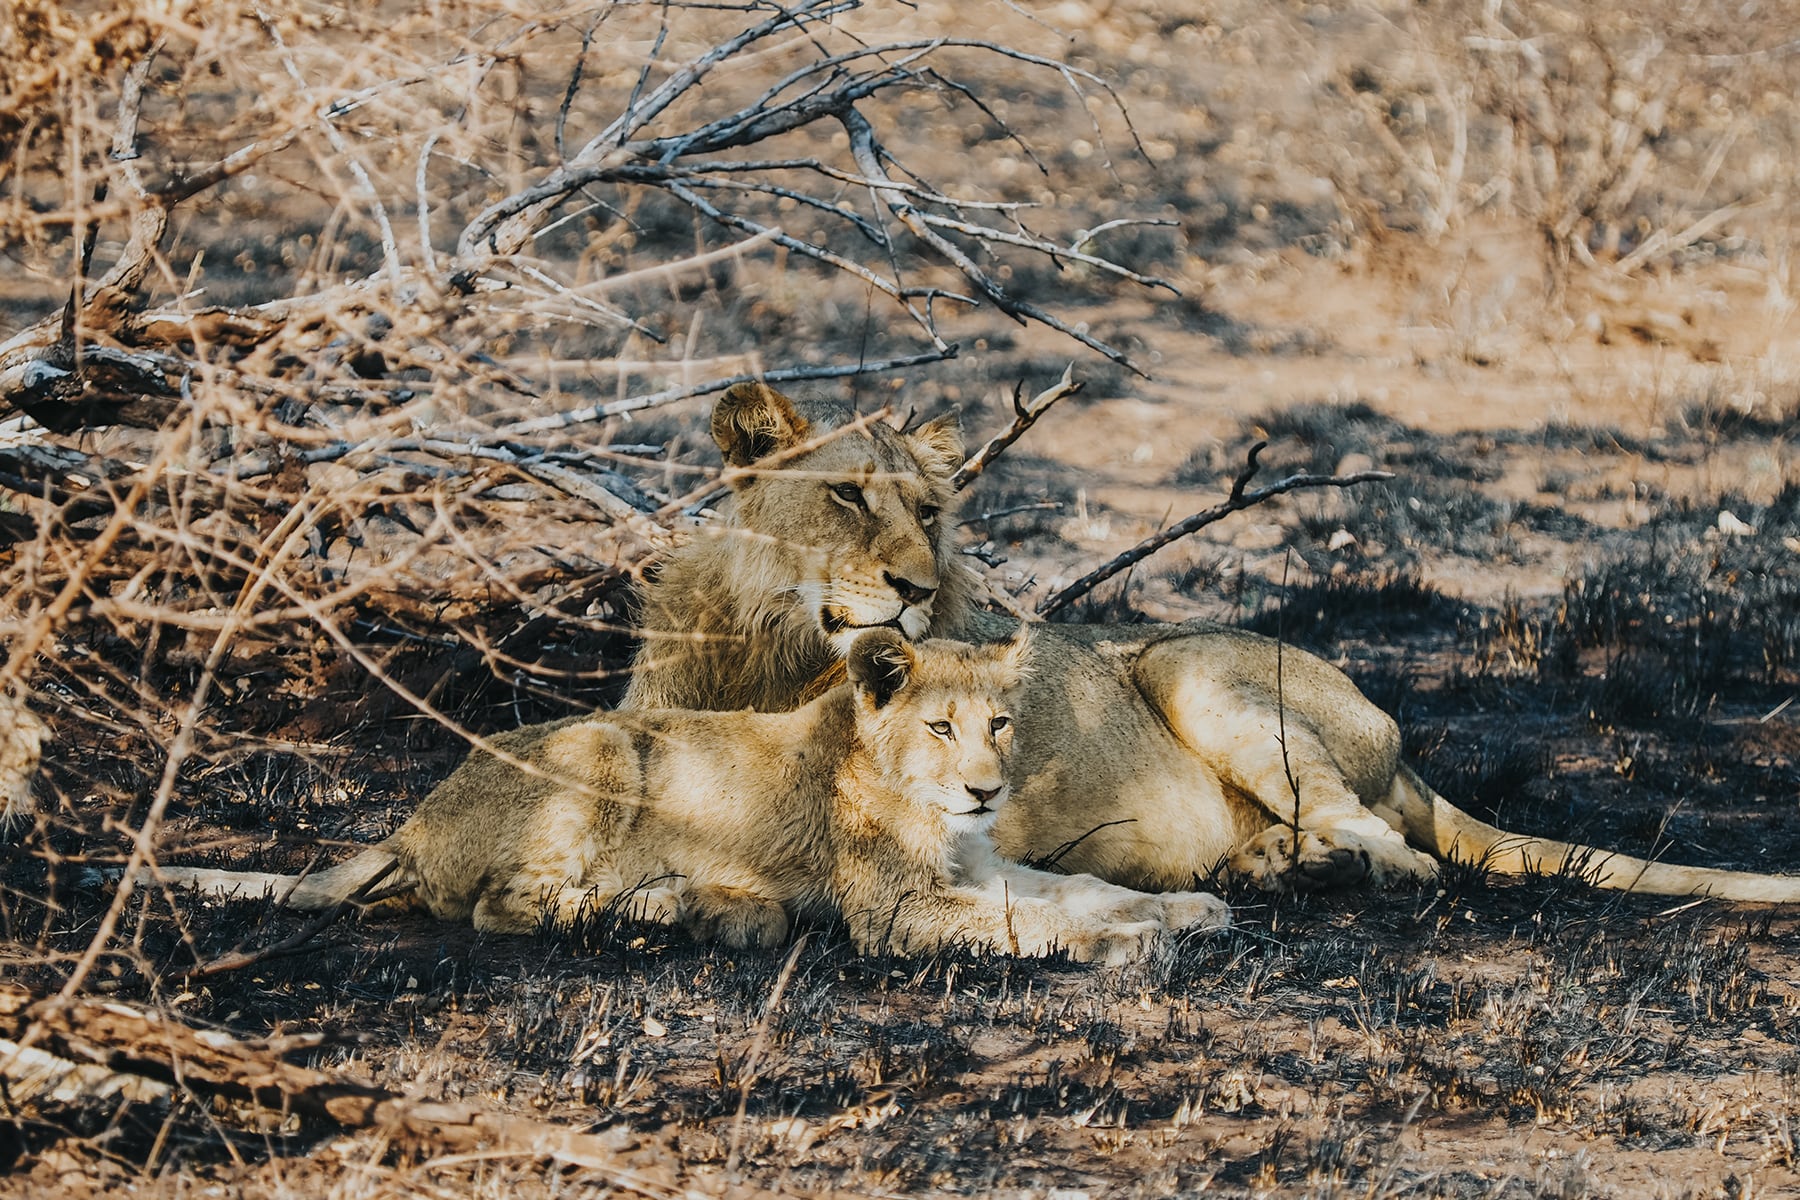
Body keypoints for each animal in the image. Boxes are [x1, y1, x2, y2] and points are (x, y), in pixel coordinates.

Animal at [149, 630, 1230, 963]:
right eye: (939, 727)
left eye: (999, 722)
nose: (985, 788)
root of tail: (411, 821)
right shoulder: (895, 912)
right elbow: (1030, 924)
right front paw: (1126, 945)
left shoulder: (978, 863)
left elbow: (1075, 889)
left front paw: (1184, 911)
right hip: (602, 744)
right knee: (510, 906)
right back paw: (680, 907)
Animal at [622, 382, 1800, 903]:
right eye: (848, 497)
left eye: (929, 512)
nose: (913, 586)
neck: (776, 650)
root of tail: (1399, 743)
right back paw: (1269, 860)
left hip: (1192, 666)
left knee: (1392, 843)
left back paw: (1320, 866)